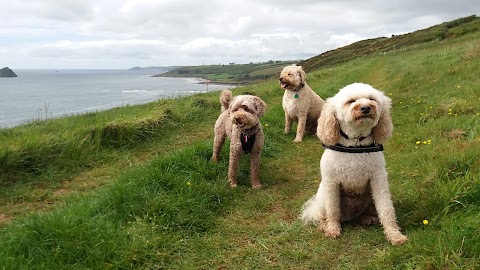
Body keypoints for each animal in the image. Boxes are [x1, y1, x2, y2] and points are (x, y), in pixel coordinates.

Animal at [302, 82, 406, 245]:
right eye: (351, 101)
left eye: (372, 99)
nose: (366, 108)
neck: (355, 144)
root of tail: (351, 215)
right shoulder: (332, 183)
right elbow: (333, 209)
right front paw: (332, 229)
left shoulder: (378, 180)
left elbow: (386, 208)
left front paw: (394, 235)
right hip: (323, 198)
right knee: (325, 214)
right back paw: (324, 225)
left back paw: (367, 218)